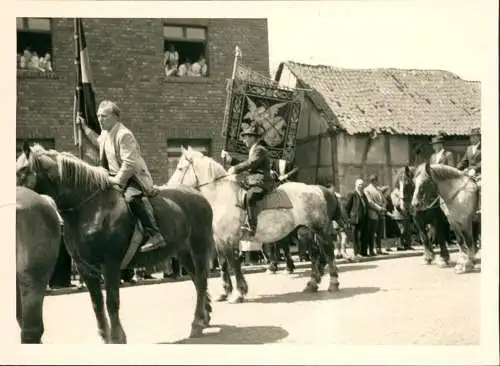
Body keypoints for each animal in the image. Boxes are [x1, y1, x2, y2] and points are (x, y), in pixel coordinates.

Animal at [168, 147, 340, 304]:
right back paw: (312, 284)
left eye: (180, 168)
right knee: (315, 254)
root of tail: (316, 189)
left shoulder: (229, 239)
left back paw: (333, 283)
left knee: (328, 251)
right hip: (304, 231)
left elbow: (233, 263)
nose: (168, 187)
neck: (220, 196)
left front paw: (239, 293)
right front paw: (225, 293)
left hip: (319, 229)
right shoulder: (219, 240)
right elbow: (223, 265)